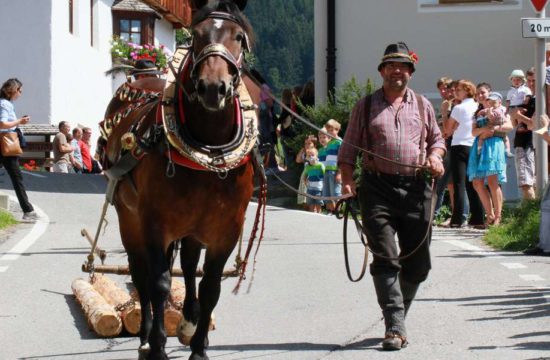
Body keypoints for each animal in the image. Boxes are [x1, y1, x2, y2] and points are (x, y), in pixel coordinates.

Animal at [100, 1, 260, 358]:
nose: (213, 88)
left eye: (239, 37)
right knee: (141, 273)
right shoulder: (155, 223)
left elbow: (210, 285)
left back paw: (189, 319)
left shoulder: (226, 229)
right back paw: (146, 335)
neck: (208, 151)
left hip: (193, 227)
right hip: (129, 219)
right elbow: (158, 283)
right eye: (197, 35)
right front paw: (158, 344)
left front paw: (199, 345)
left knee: (187, 265)